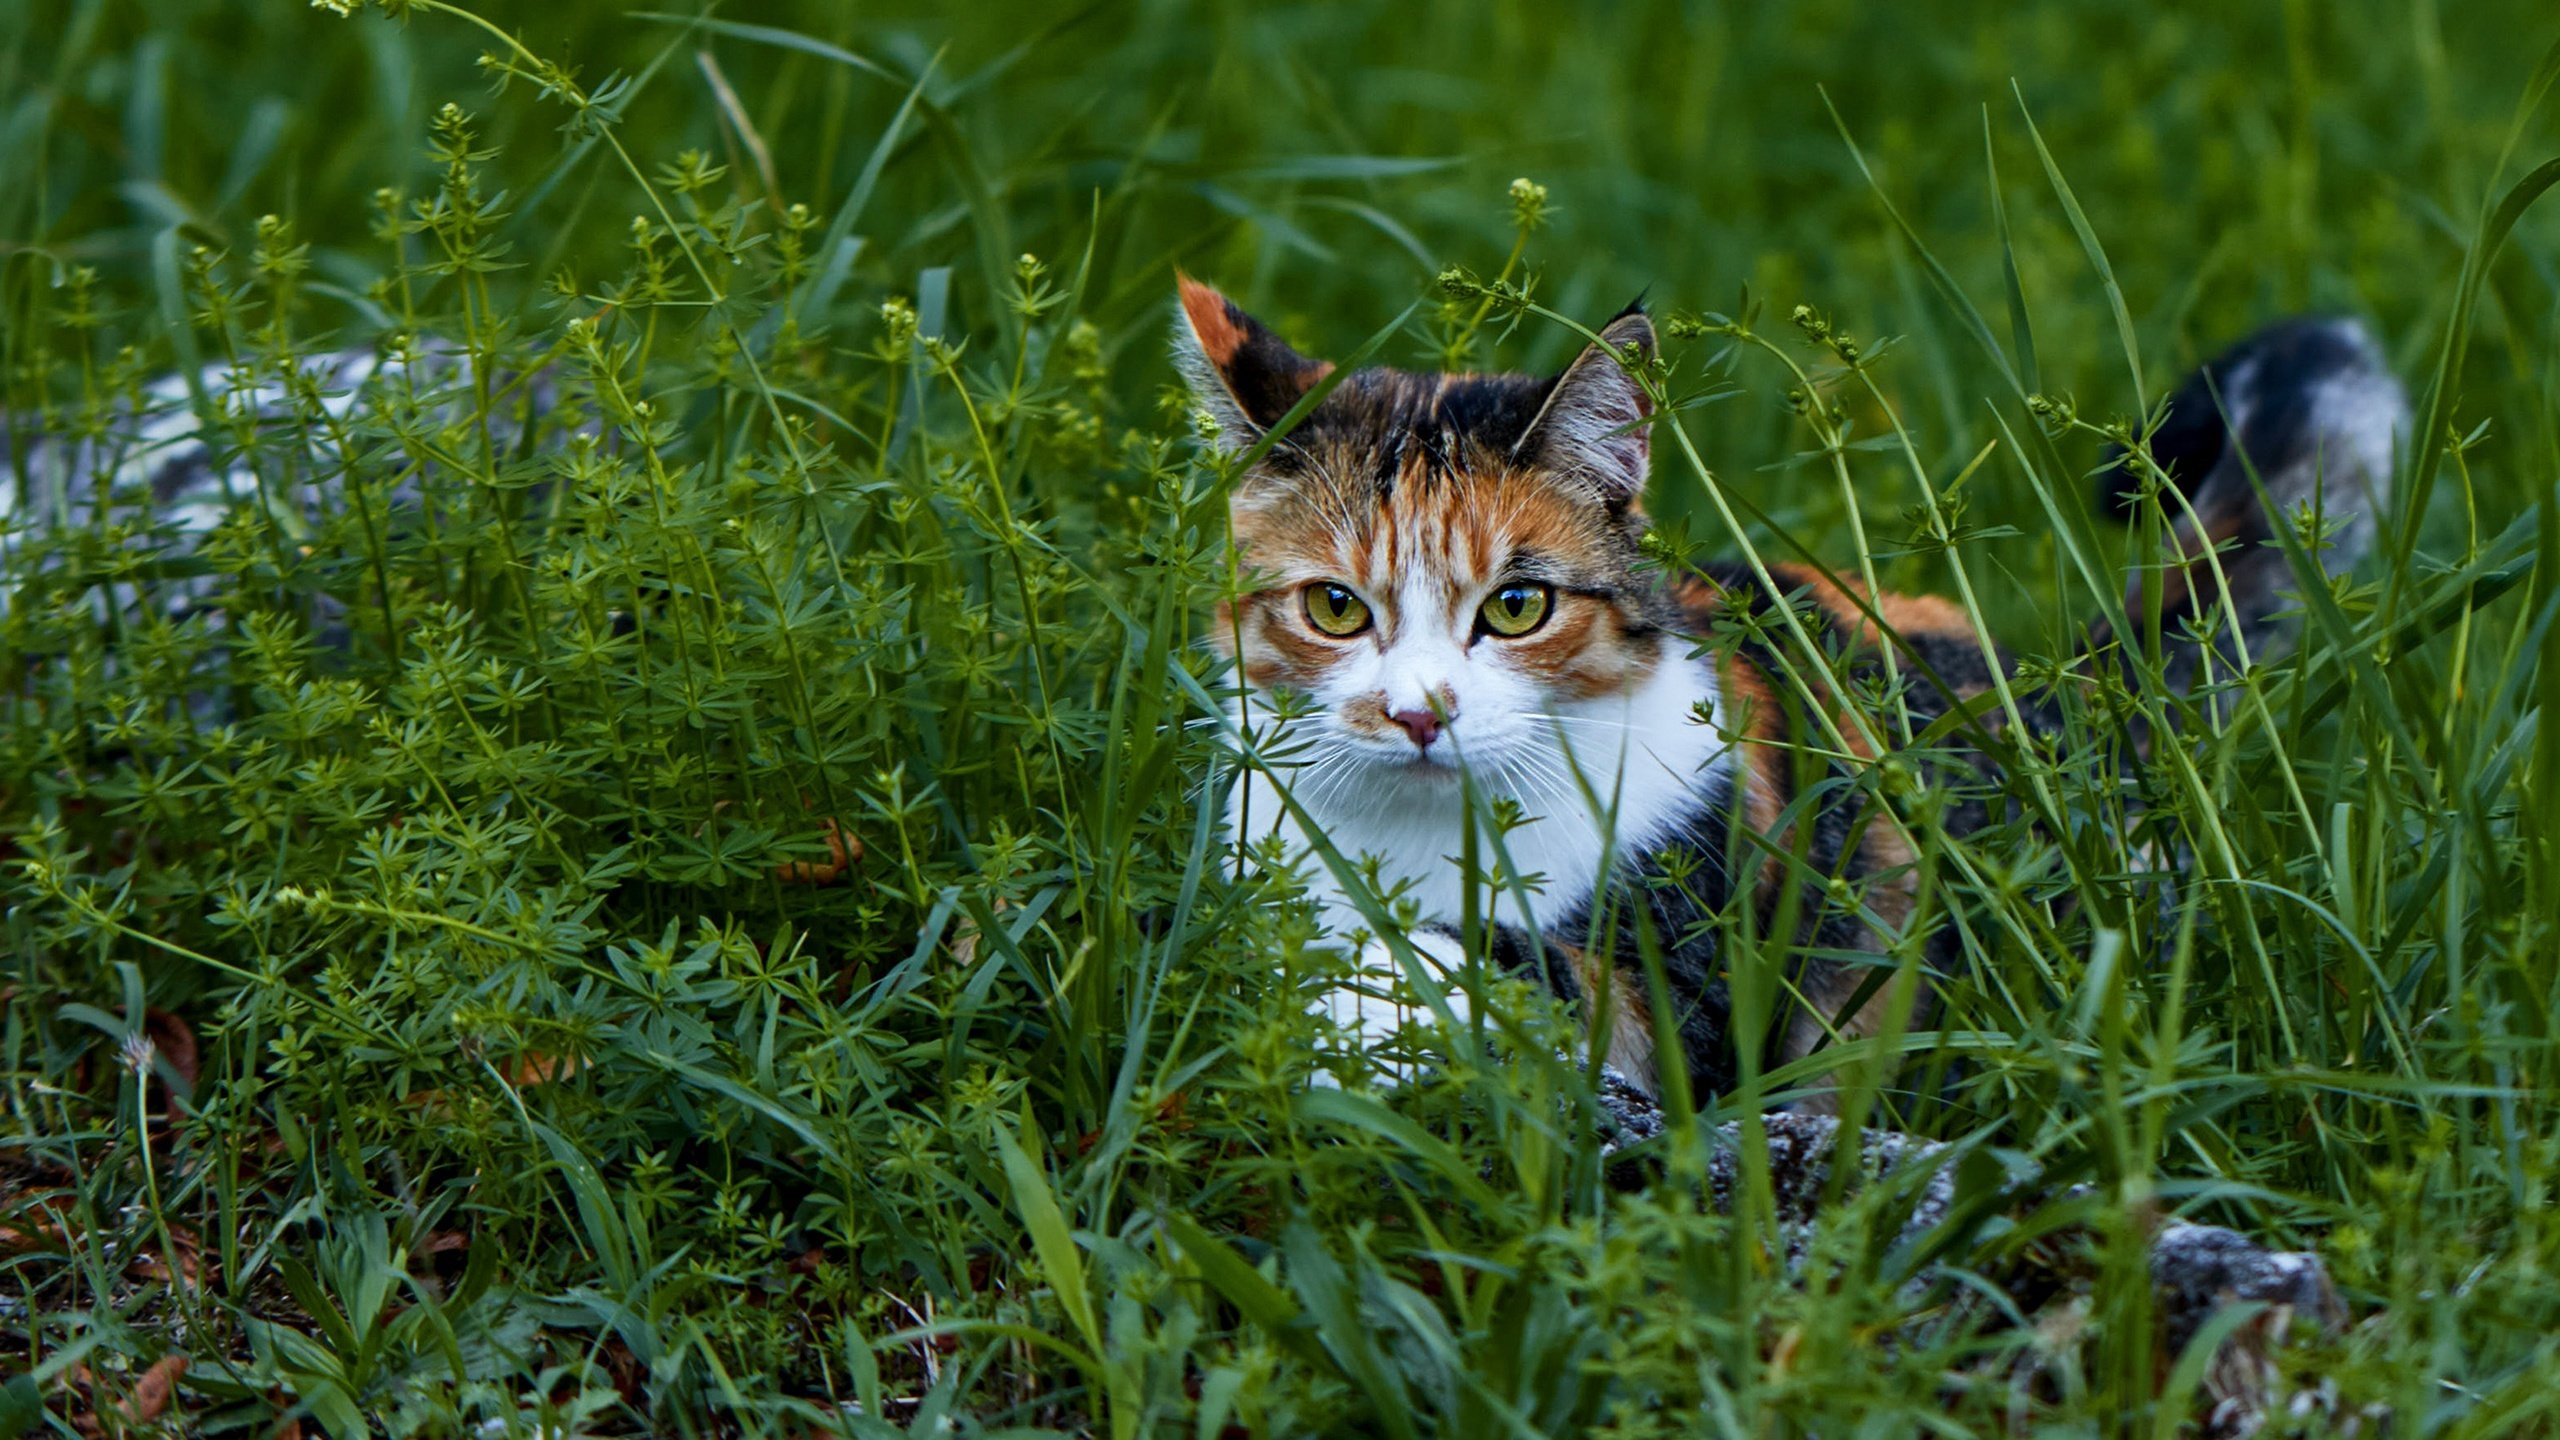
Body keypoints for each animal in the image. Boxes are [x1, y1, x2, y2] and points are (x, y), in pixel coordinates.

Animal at [1177, 271, 2396, 1096]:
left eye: (1518, 607)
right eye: (1337, 608)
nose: (1417, 714)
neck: (1417, 838)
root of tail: (2053, 686)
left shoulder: (1687, 990)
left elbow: (1506, 973)